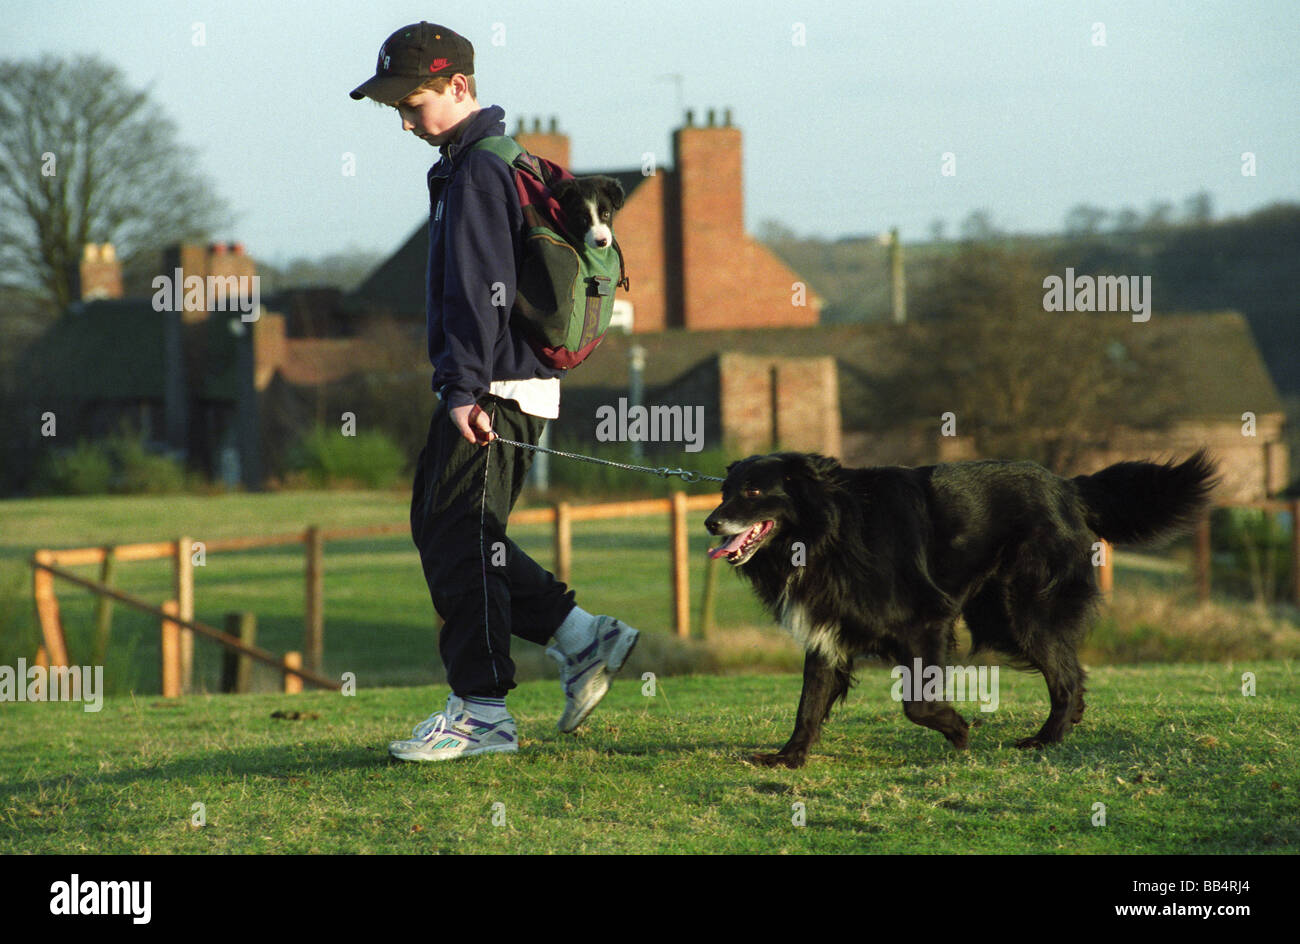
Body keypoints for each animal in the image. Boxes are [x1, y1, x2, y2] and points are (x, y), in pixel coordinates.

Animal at [707, 449, 1211, 769]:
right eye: (725, 490)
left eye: (752, 493)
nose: (711, 522)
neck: (827, 530)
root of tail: (1069, 488)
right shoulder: (827, 631)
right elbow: (809, 702)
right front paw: (789, 758)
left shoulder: (925, 622)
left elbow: (916, 703)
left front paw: (958, 730)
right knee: (1070, 672)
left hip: (1021, 612)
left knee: (1066, 675)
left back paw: (1046, 739)